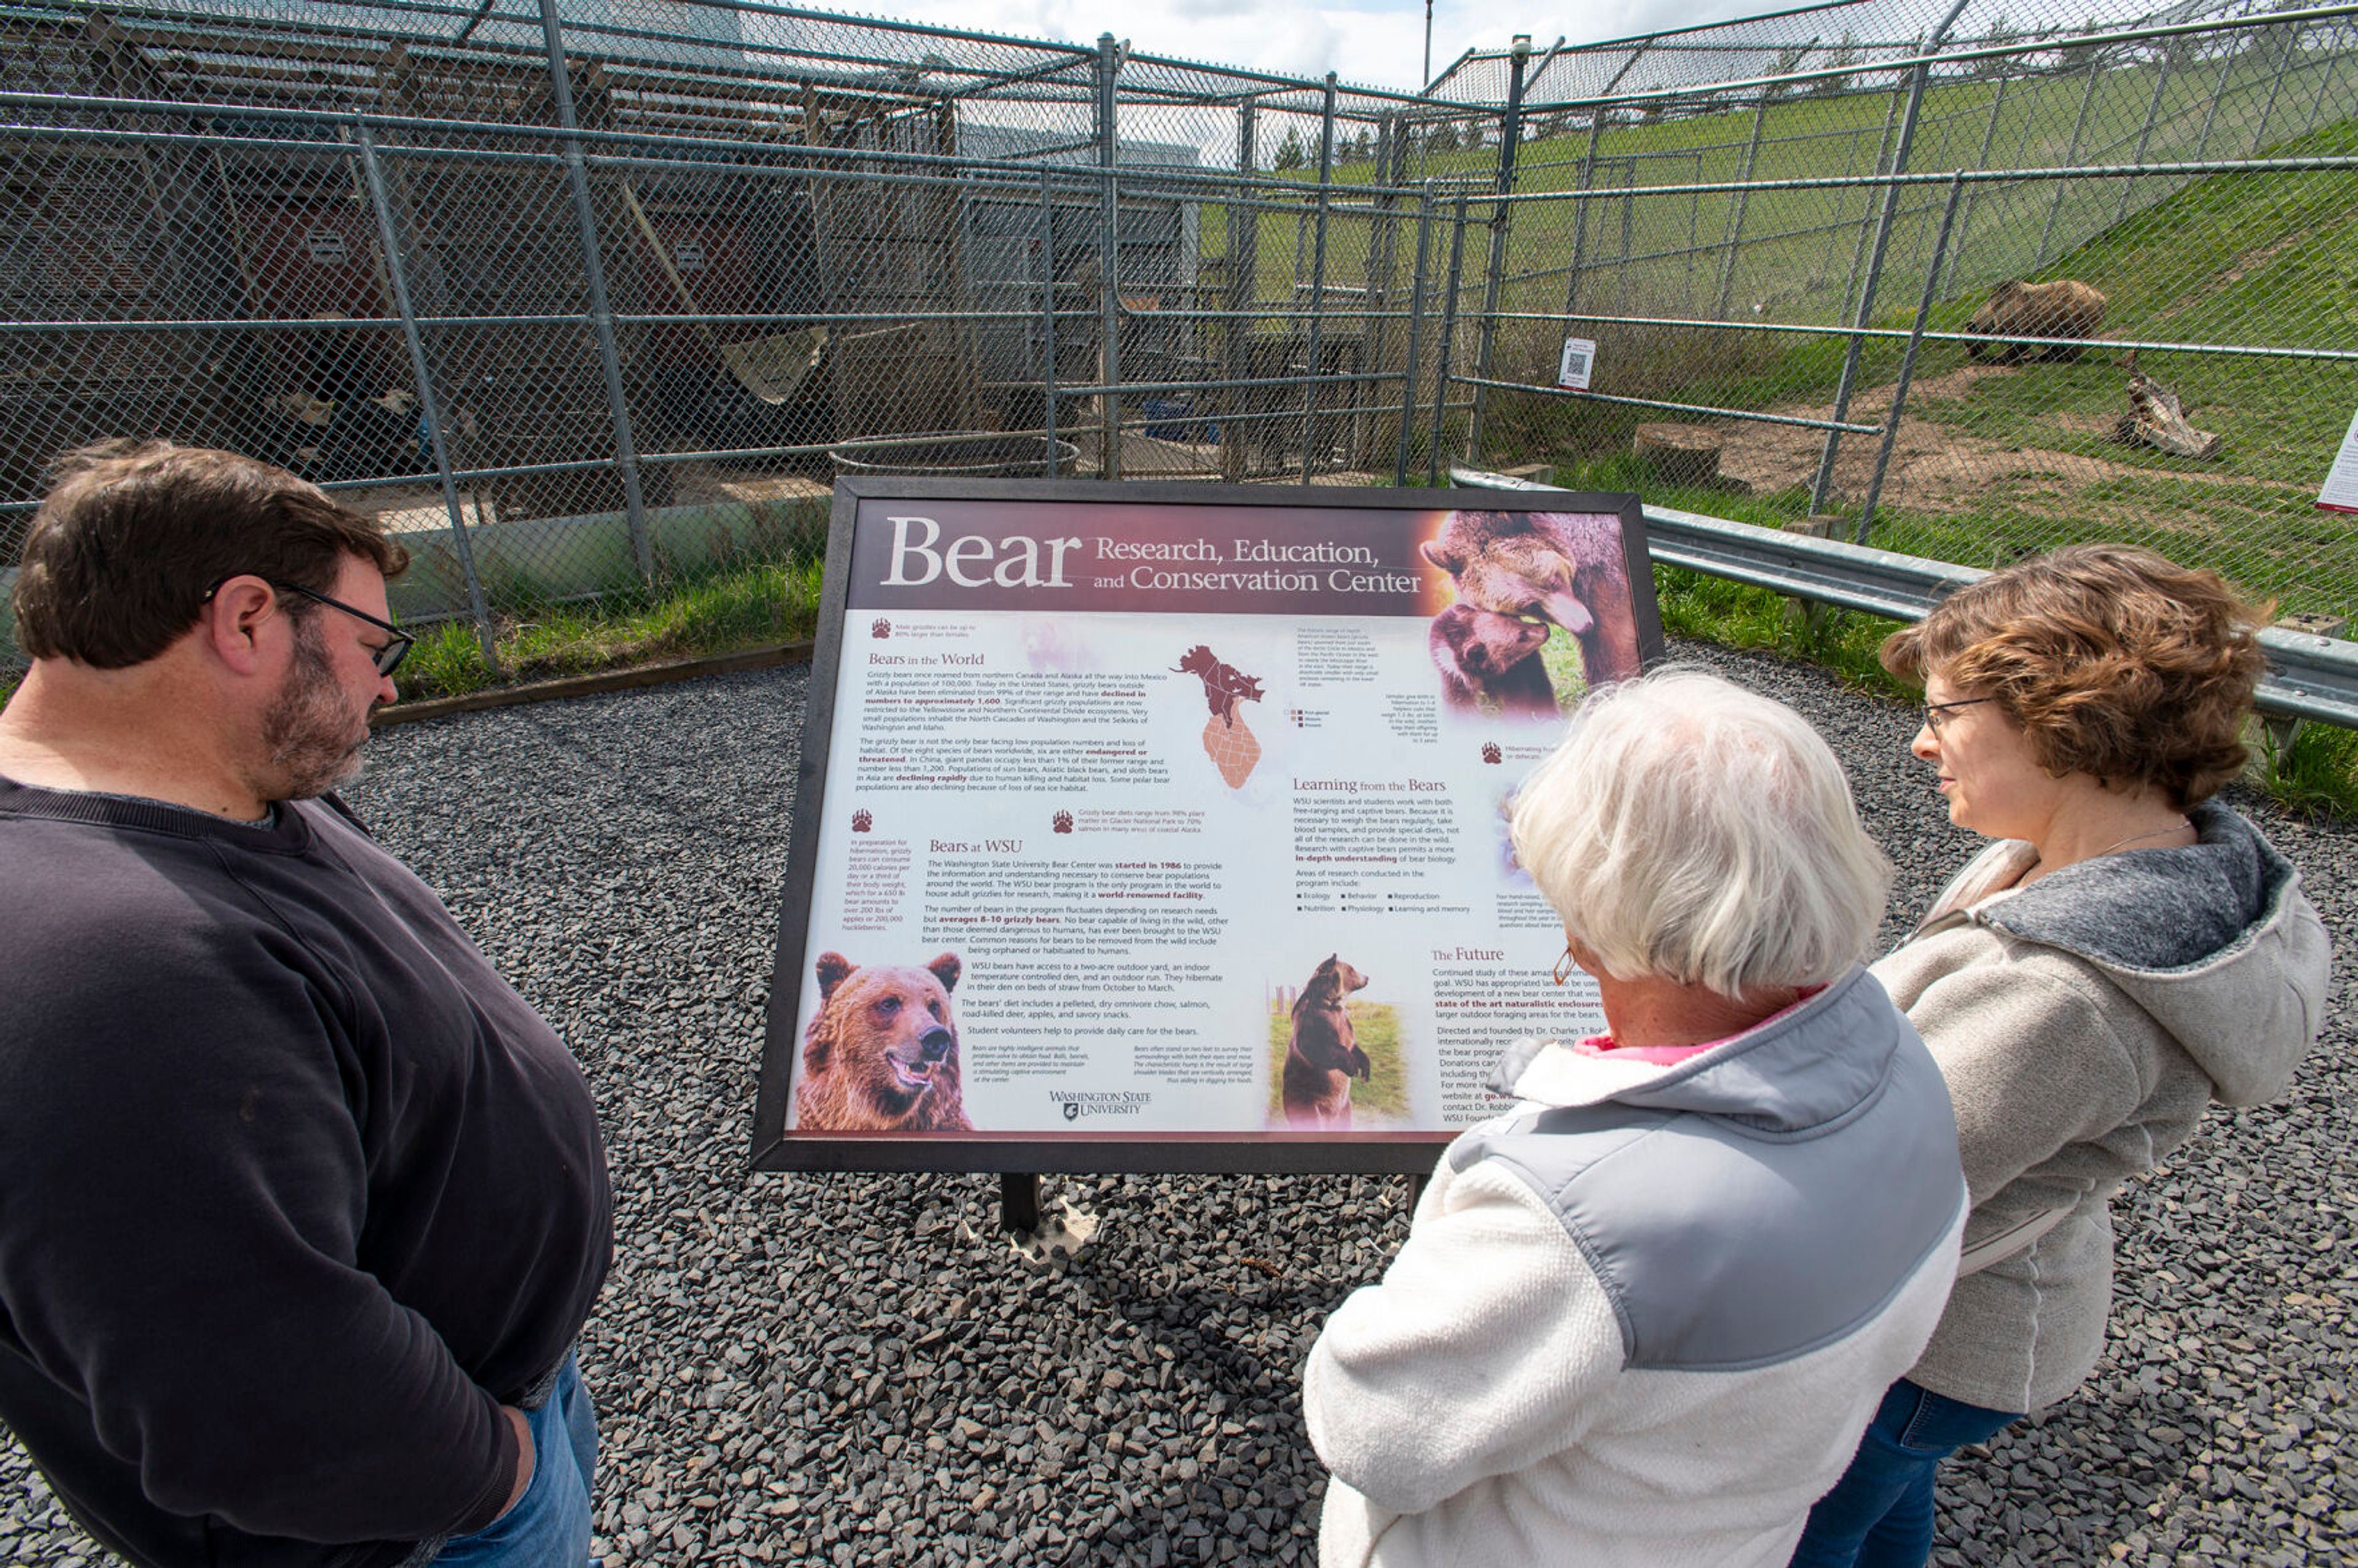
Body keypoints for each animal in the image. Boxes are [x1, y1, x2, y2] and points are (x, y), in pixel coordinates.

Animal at [1282, 952, 1377, 1127]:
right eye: (1352, 968)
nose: (1367, 977)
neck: (1332, 1003)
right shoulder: (1313, 1019)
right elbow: (1316, 1045)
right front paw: (1352, 1066)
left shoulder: (1345, 1024)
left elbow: (1354, 1046)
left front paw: (1365, 1071)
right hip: (1306, 1103)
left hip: (1346, 1107)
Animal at [1961, 277, 2112, 363]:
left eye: (1966, 343)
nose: (1970, 354)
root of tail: (2100, 297)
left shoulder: (2015, 319)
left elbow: (2018, 345)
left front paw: (2001, 358)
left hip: (2069, 313)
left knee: (2070, 338)